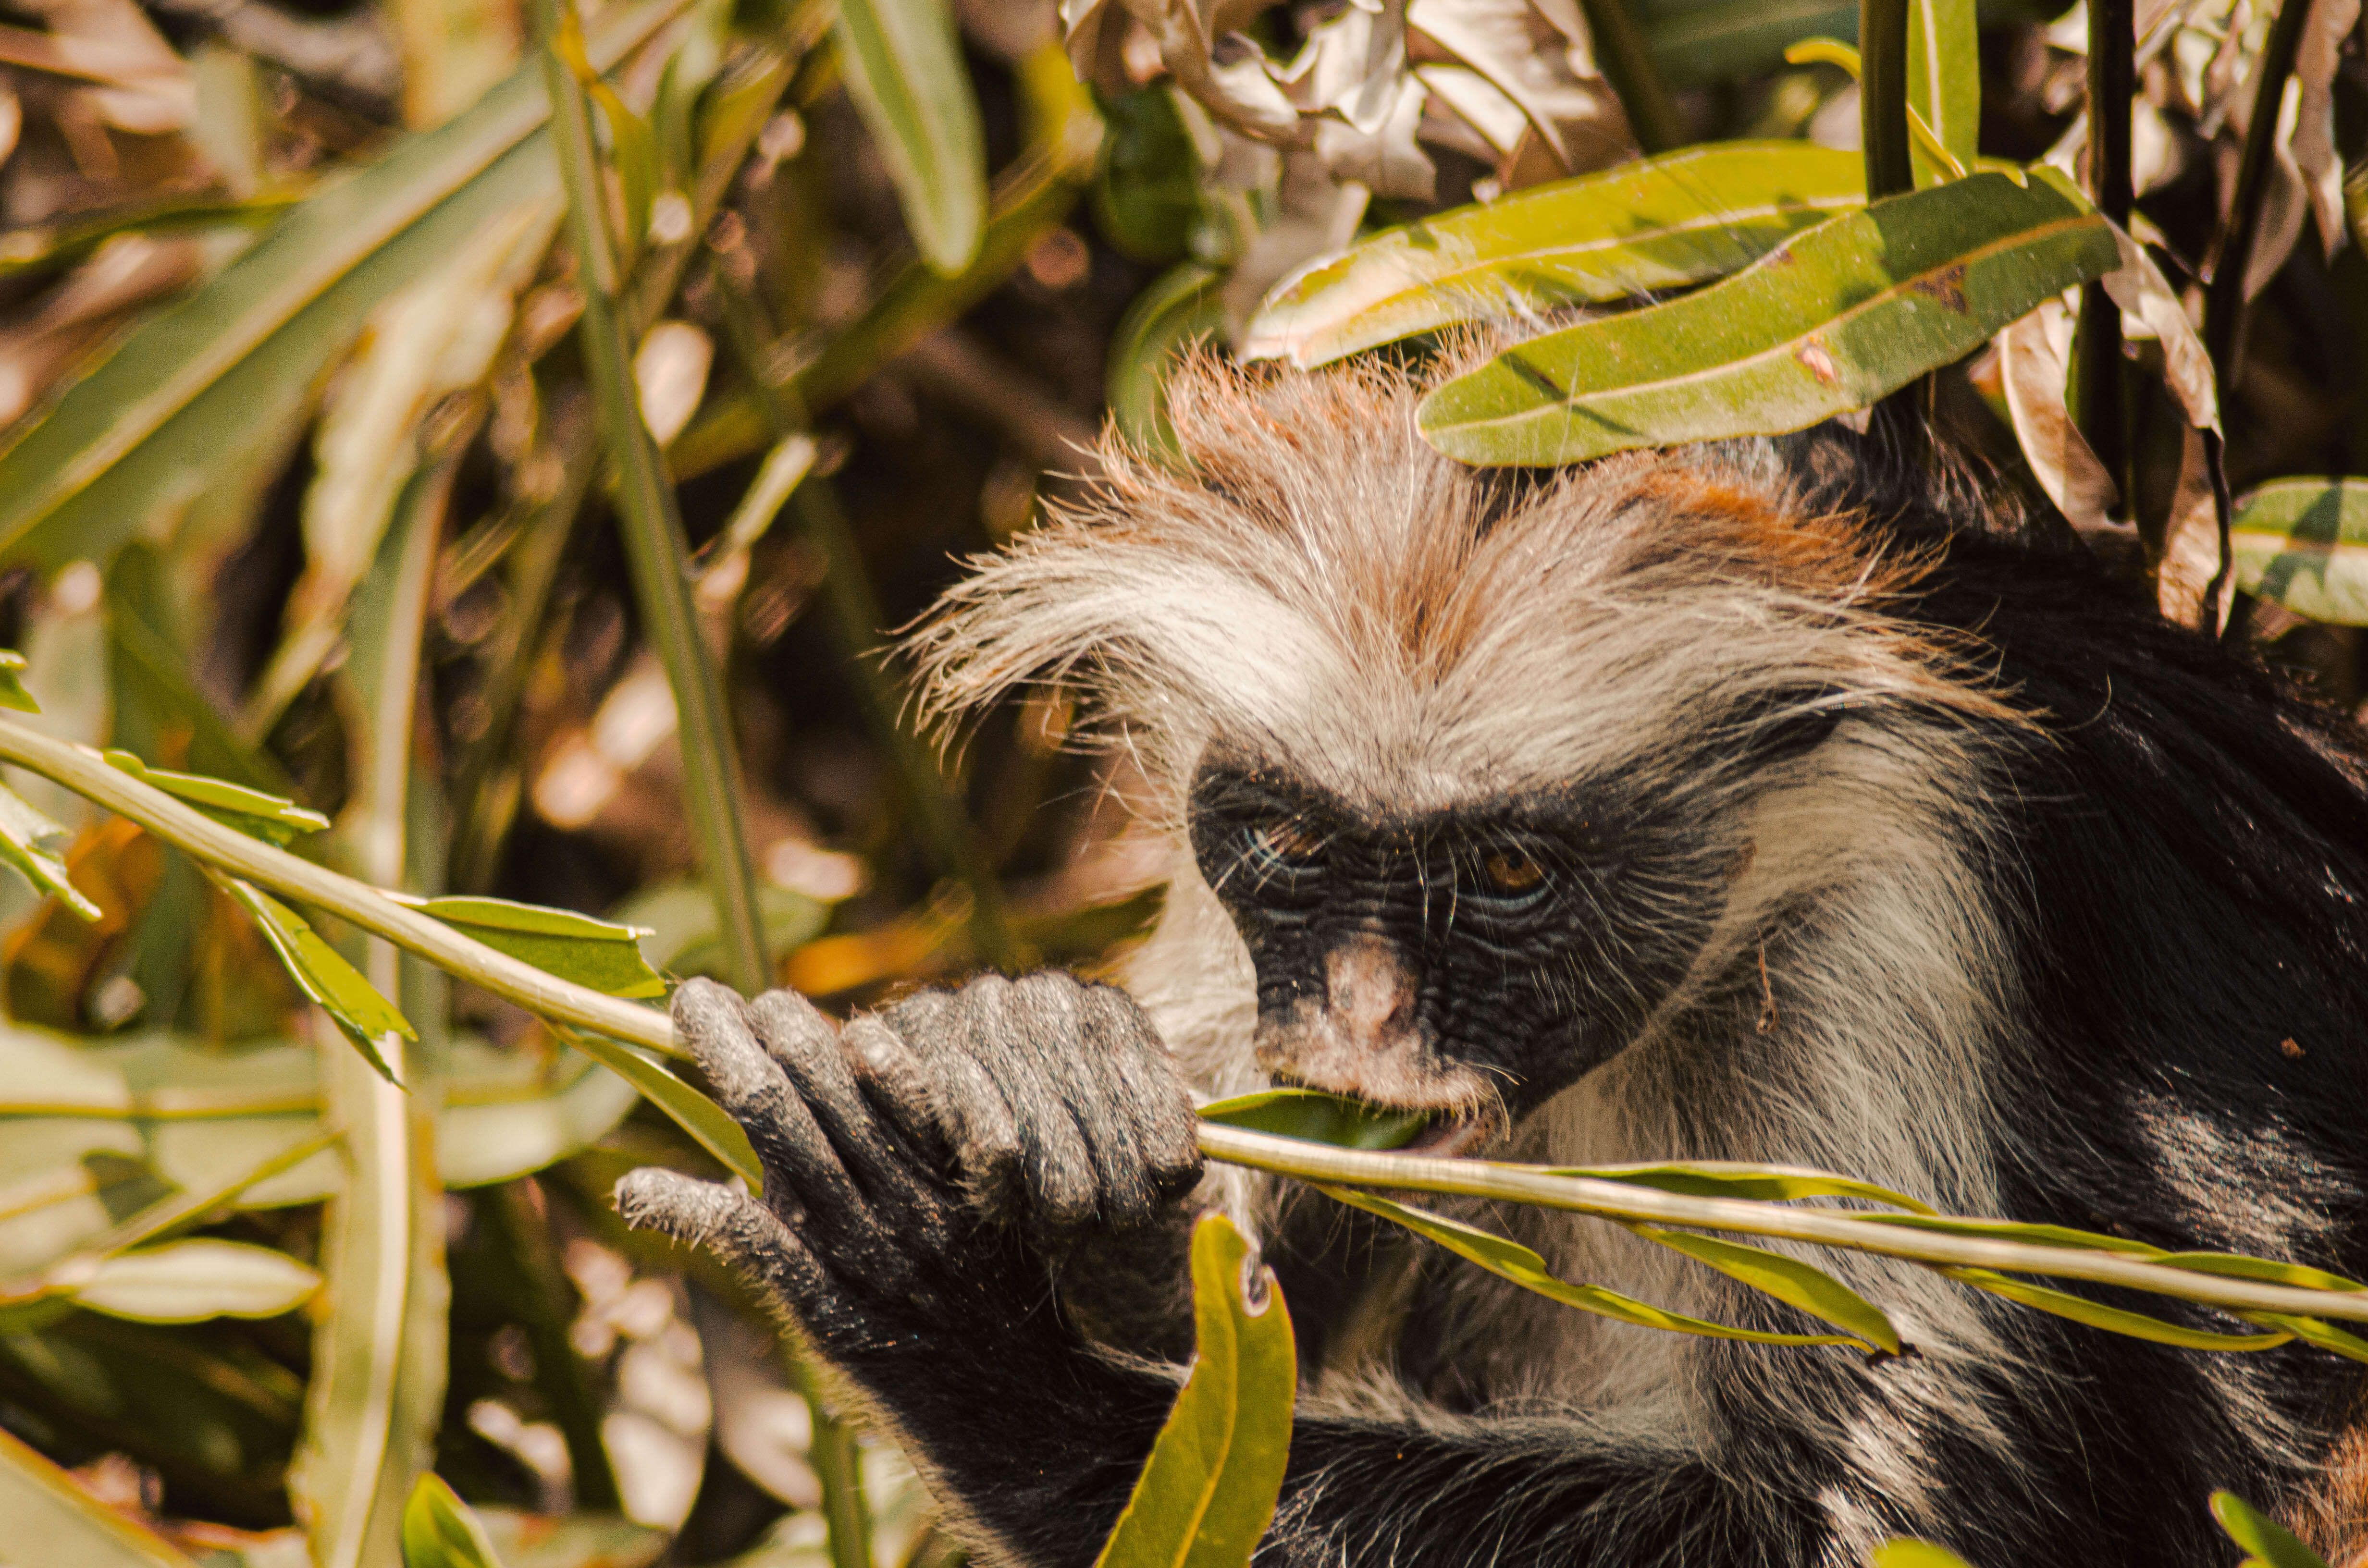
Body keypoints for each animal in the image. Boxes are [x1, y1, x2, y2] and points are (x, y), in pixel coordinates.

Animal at [616, 360, 2368, 1568]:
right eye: (1291, 844)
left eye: (1514, 873)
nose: (1367, 1030)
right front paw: (1029, 1076)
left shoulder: (1891, 929)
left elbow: (1881, 1534)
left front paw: (954, 1316)